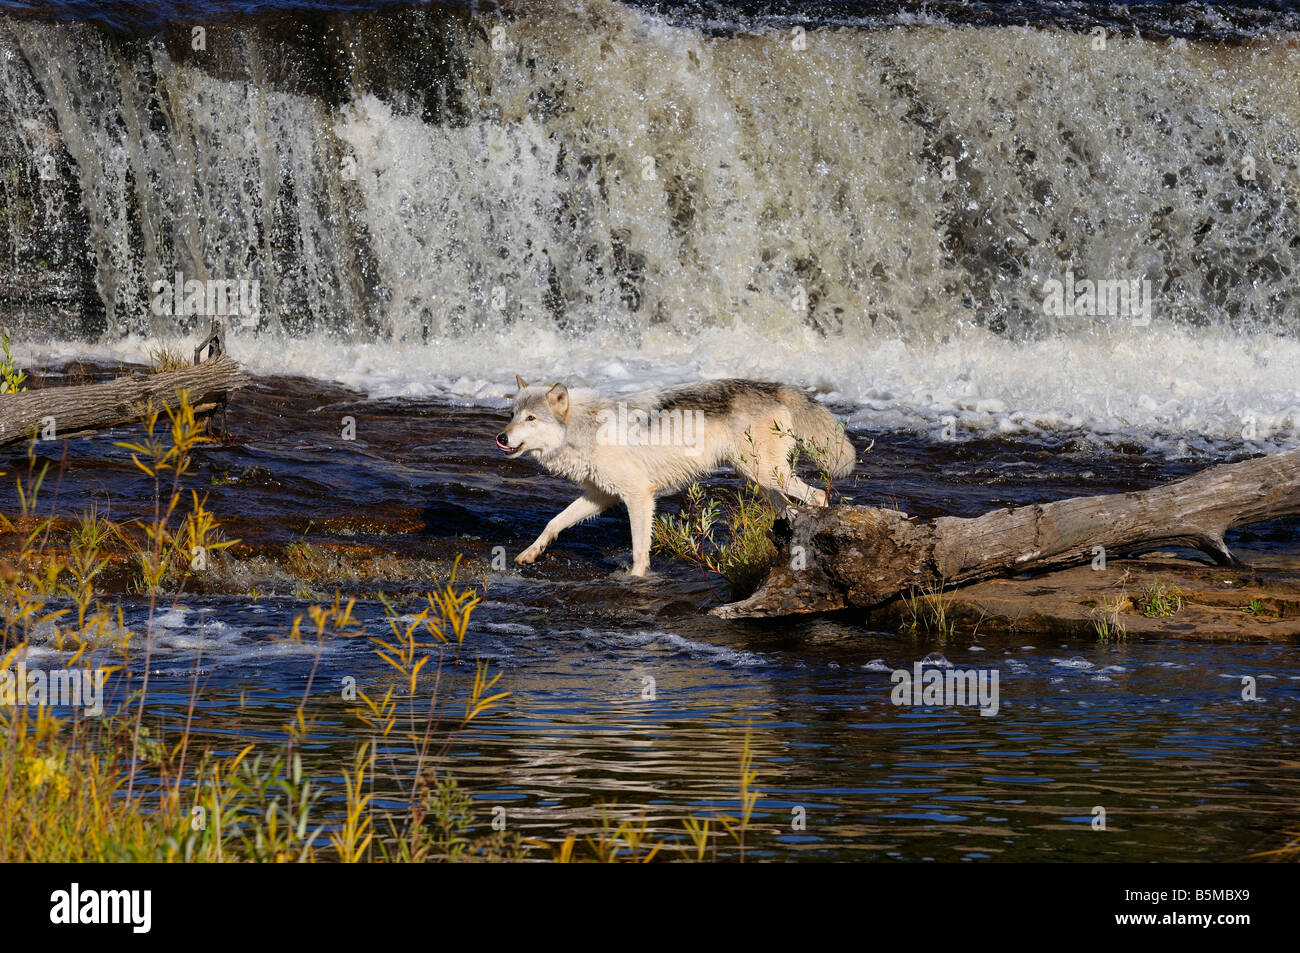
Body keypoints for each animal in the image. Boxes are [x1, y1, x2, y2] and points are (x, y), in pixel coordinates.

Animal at [493, 377, 852, 572]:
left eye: (531, 418)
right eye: (512, 415)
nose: (501, 438)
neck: (585, 428)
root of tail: (773, 387)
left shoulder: (638, 494)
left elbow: (640, 549)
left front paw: (636, 578)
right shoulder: (601, 496)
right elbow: (553, 522)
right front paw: (530, 553)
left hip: (768, 475)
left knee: (819, 495)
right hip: (760, 480)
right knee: (791, 509)